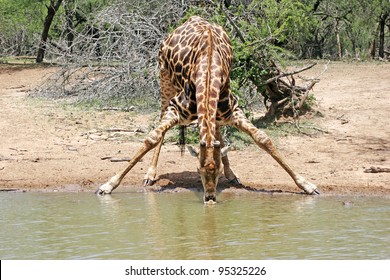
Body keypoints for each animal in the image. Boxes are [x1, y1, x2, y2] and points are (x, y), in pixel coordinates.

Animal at [96, 15, 318, 203]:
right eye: (198, 170)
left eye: (216, 172)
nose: (210, 198)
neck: (209, 69)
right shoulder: (175, 108)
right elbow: (151, 138)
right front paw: (108, 185)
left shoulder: (233, 111)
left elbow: (263, 139)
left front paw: (307, 185)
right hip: (164, 80)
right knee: (161, 123)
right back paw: (150, 174)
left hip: (215, 111)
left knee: (217, 131)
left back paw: (232, 174)